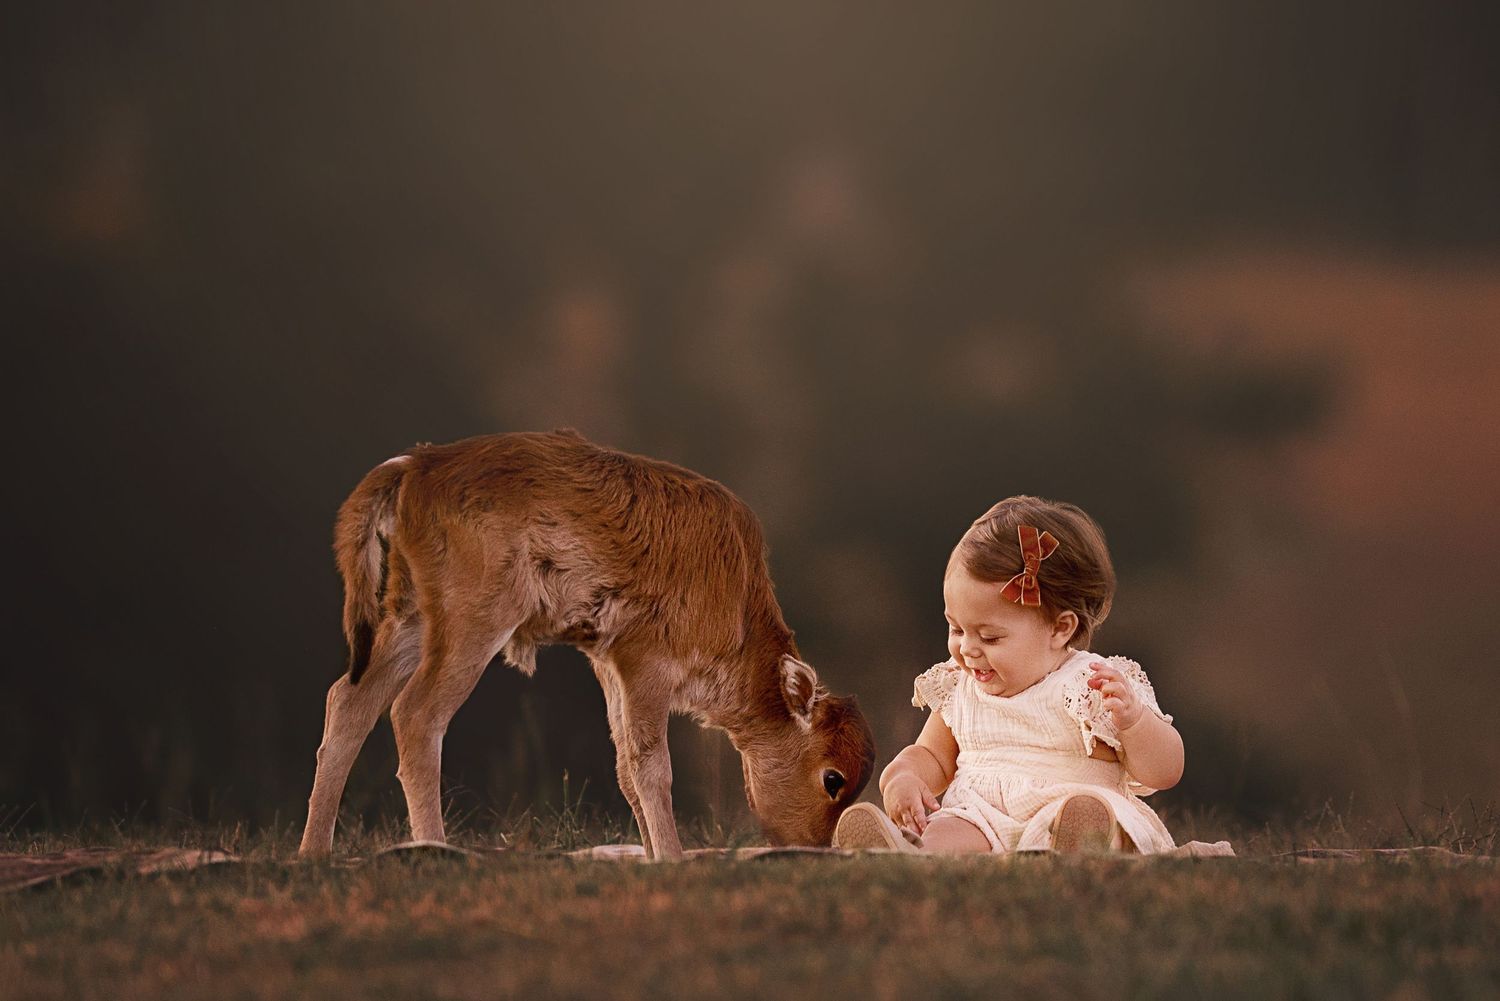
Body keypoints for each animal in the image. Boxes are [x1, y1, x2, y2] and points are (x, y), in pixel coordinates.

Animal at [298, 429, 876, 859]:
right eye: (832, 778)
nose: (813, 847)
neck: (738, 600)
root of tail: (415, 465)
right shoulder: (646, 668)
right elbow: (651, 765)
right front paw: (671, 857)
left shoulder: (609, 665)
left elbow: (624, 766)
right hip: (471, 628)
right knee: (416, 714)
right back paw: (436, 848)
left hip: (410, 622)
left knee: (348, 702)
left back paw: (314, 852)